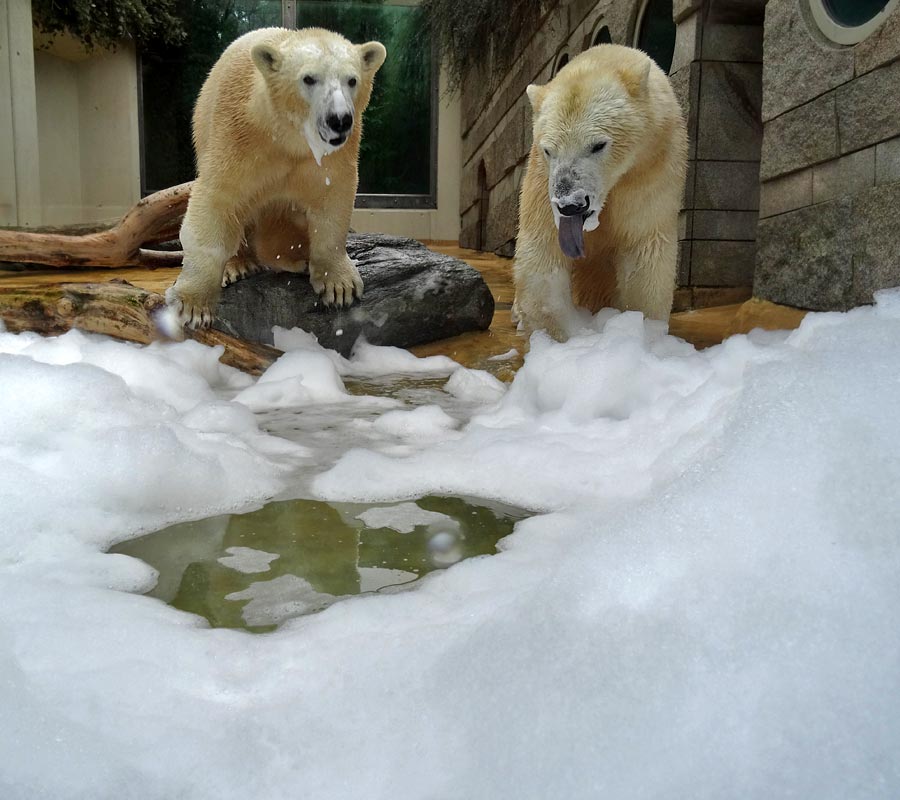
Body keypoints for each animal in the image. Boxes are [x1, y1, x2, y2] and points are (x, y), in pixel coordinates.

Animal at [165, 28, 386, 328]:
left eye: (352, 80)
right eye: (309, 78)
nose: (339, 119)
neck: (287, 138)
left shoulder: (331, 159)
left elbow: (331, 201)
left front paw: (340, 285)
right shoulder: (238, 141)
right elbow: (217, 201)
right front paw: (193, 306)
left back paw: (297, 259)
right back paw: (237, 265)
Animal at [512, 43, 688, 340]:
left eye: (598, 145)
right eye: (549, 150)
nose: (571, 204)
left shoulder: (650, 172)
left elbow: (644, 250)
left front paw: (643, 331)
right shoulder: (541, 181)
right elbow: (544, 252)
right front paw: (561, 337)